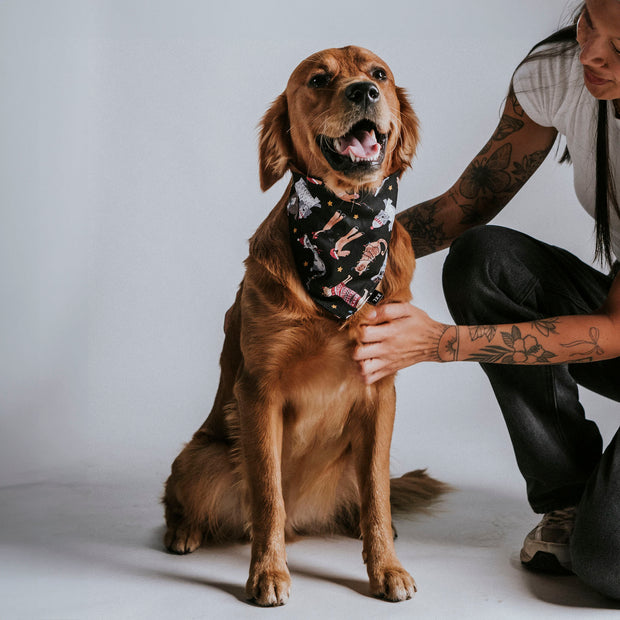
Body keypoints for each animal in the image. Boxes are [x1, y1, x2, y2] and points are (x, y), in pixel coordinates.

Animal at [162, 46, 448, 608]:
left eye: (379, 73)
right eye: (318, 80)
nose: (364, 91)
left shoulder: (381, 385)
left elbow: (378, 496)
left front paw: (386, 567)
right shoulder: (259, 389)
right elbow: (267, 496)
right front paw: (268, 573)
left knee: (368, 496)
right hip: (202, 457)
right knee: (187, 499)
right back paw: (184, 531)